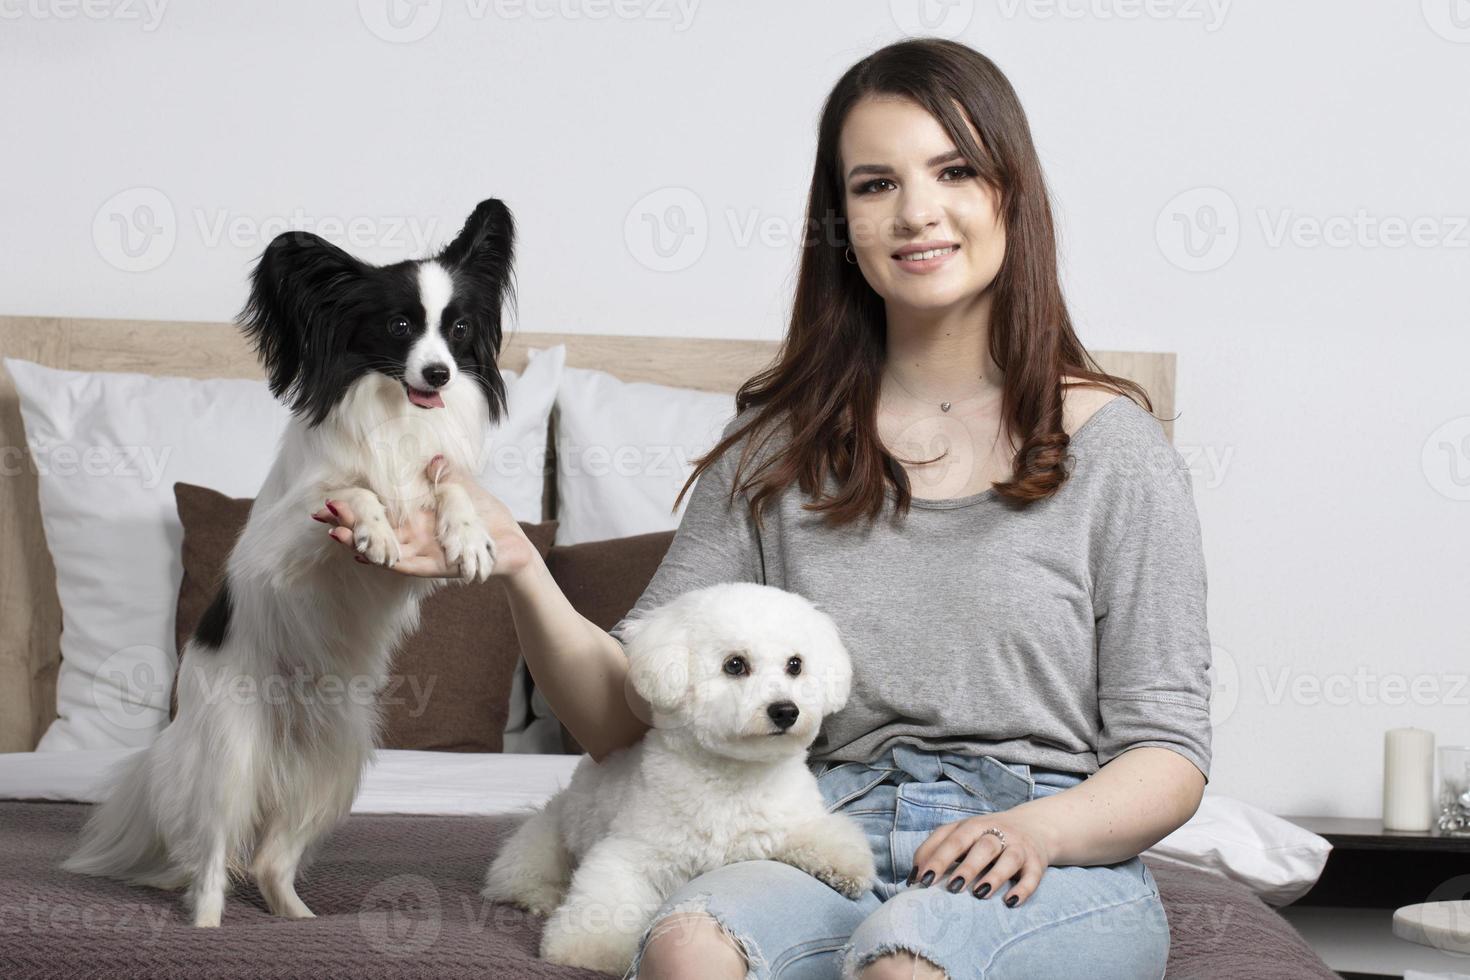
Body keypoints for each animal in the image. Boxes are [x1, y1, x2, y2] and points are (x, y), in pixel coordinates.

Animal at [67, 196, 517, 928]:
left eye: (459, 330)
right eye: (399, 326)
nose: (440, 374)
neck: (398, 419)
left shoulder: (433, 482)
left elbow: (449, 488)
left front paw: (470, 536)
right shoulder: (278, 544)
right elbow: (352, 491)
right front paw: (375, 532)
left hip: (335, 763)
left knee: (272, 861)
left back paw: (300, 920)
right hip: (230, 758)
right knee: (211, 863)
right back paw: (206, 928)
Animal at [482, 581, 870, 975]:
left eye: (795, 665)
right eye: (735, 664)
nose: (786, 711)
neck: (733, 780)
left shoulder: (789, 822)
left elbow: (823, 835)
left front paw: (843, 867)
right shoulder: (630, 853)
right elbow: (608, 904)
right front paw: (591, 950)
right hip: (548, 838)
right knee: (518, 875)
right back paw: (540, 896)